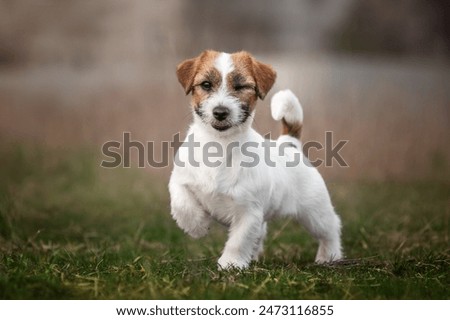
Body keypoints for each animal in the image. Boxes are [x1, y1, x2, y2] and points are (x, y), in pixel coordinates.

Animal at [169, 50, 342, 270]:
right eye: (206, 84)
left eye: (241, 86)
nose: (220, 112)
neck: (219, 145)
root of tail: (289, 144)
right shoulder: (179, 181)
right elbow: (182, 204)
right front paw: (197, 227)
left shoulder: (248, 211)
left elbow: (239, 240)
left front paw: (231, 264)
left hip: (315, 213)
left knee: (331, 228)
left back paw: (330, 256)